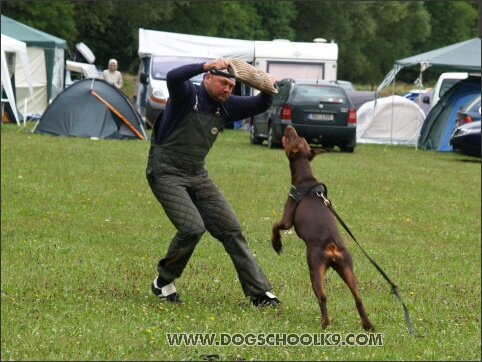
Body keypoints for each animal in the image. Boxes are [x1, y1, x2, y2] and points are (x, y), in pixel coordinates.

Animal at [272, 124, 372, 330]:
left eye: (292, 136)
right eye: (300, 136)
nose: (289, 126)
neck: (305, 178)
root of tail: (331, 244)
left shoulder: (287, 218)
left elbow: (275, 226)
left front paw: (276, 244)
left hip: (314, 268)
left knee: (323, 297)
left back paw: (325, 323)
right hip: (347, 268)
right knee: (358, 298)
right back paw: (368, 325)